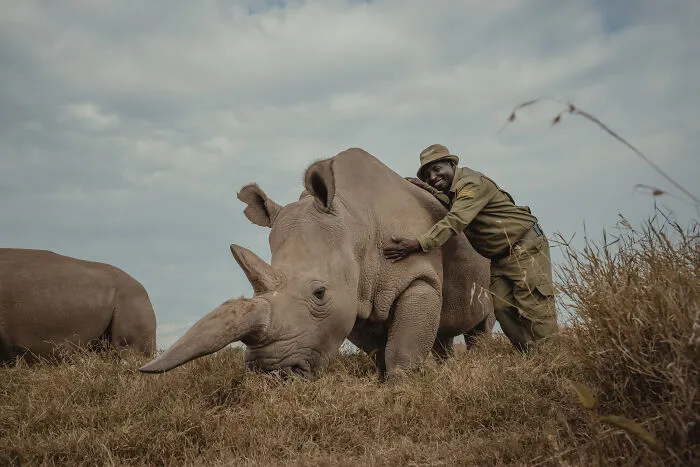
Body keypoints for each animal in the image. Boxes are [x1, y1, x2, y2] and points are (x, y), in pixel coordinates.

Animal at [141, 148, 494, 380]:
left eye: (319, 293)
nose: (272, 375)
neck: (355, 222)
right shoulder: (355, 296)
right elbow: (378, 348)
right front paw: (383, 382)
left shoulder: (417, 278)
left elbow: (403, 347)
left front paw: (402, 386)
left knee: (482, 323)